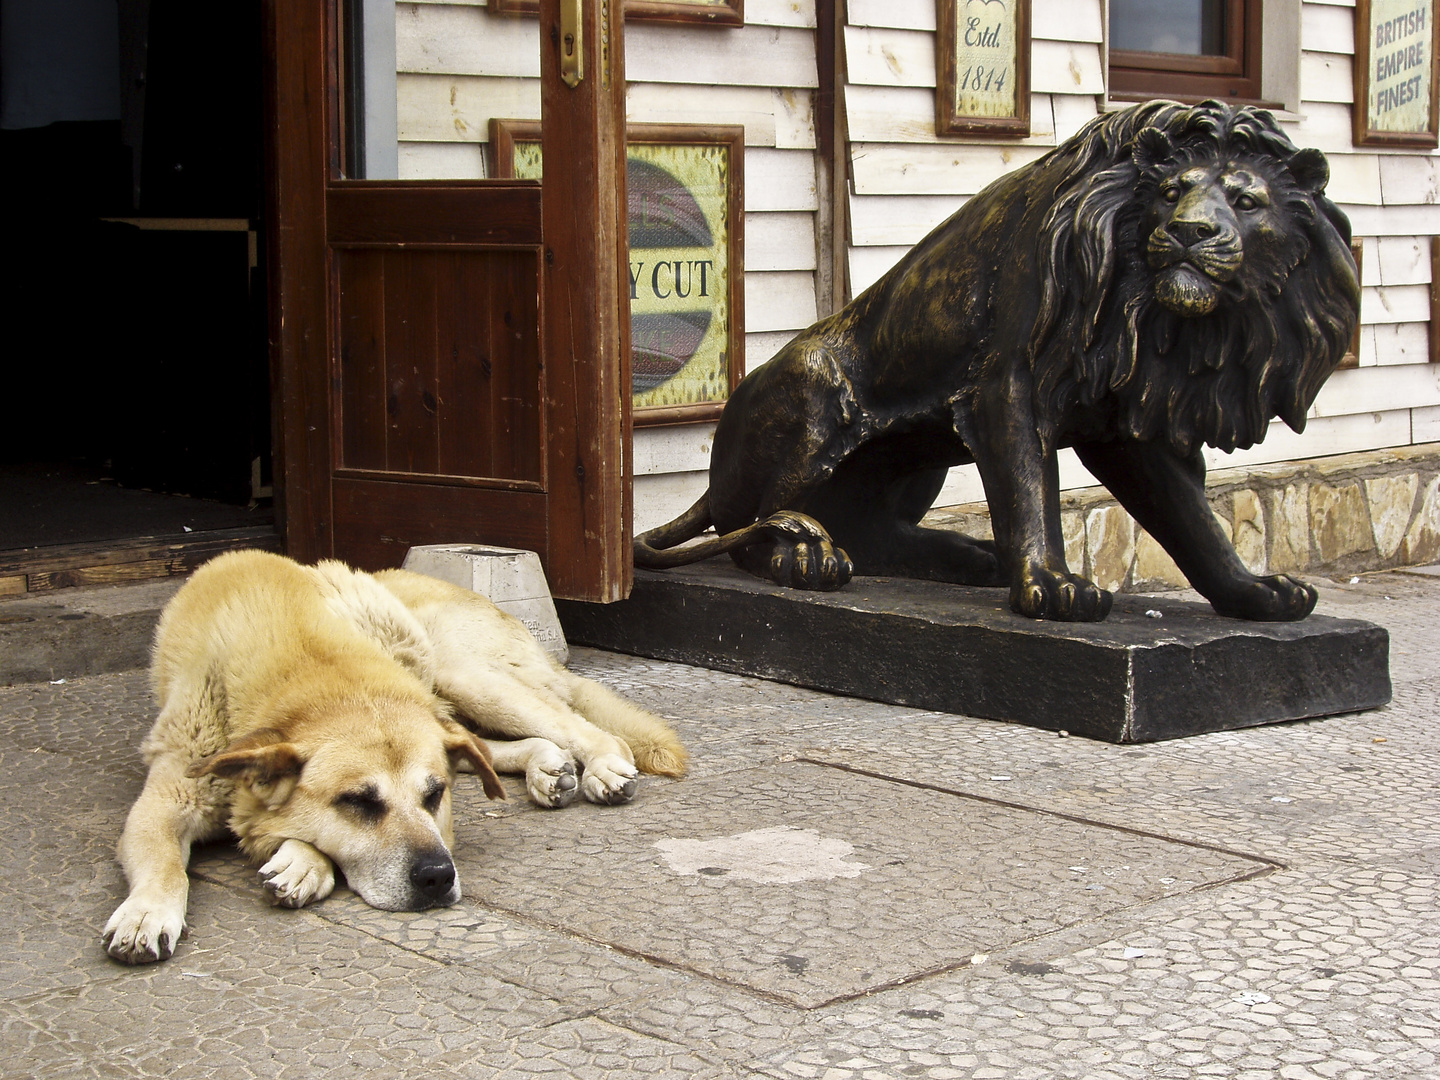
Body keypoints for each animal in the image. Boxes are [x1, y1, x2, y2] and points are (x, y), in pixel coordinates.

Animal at [101, 552, 685, 967]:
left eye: (433, 796)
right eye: (357, 801)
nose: (436, 878)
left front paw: (299, 859)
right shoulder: (164, 803)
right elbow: (165, 862)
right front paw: (148, 913)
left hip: (463, 673)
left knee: (581, 729)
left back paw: (603, 768)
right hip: (449, 698)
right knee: (493, 747)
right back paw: (547, 766)